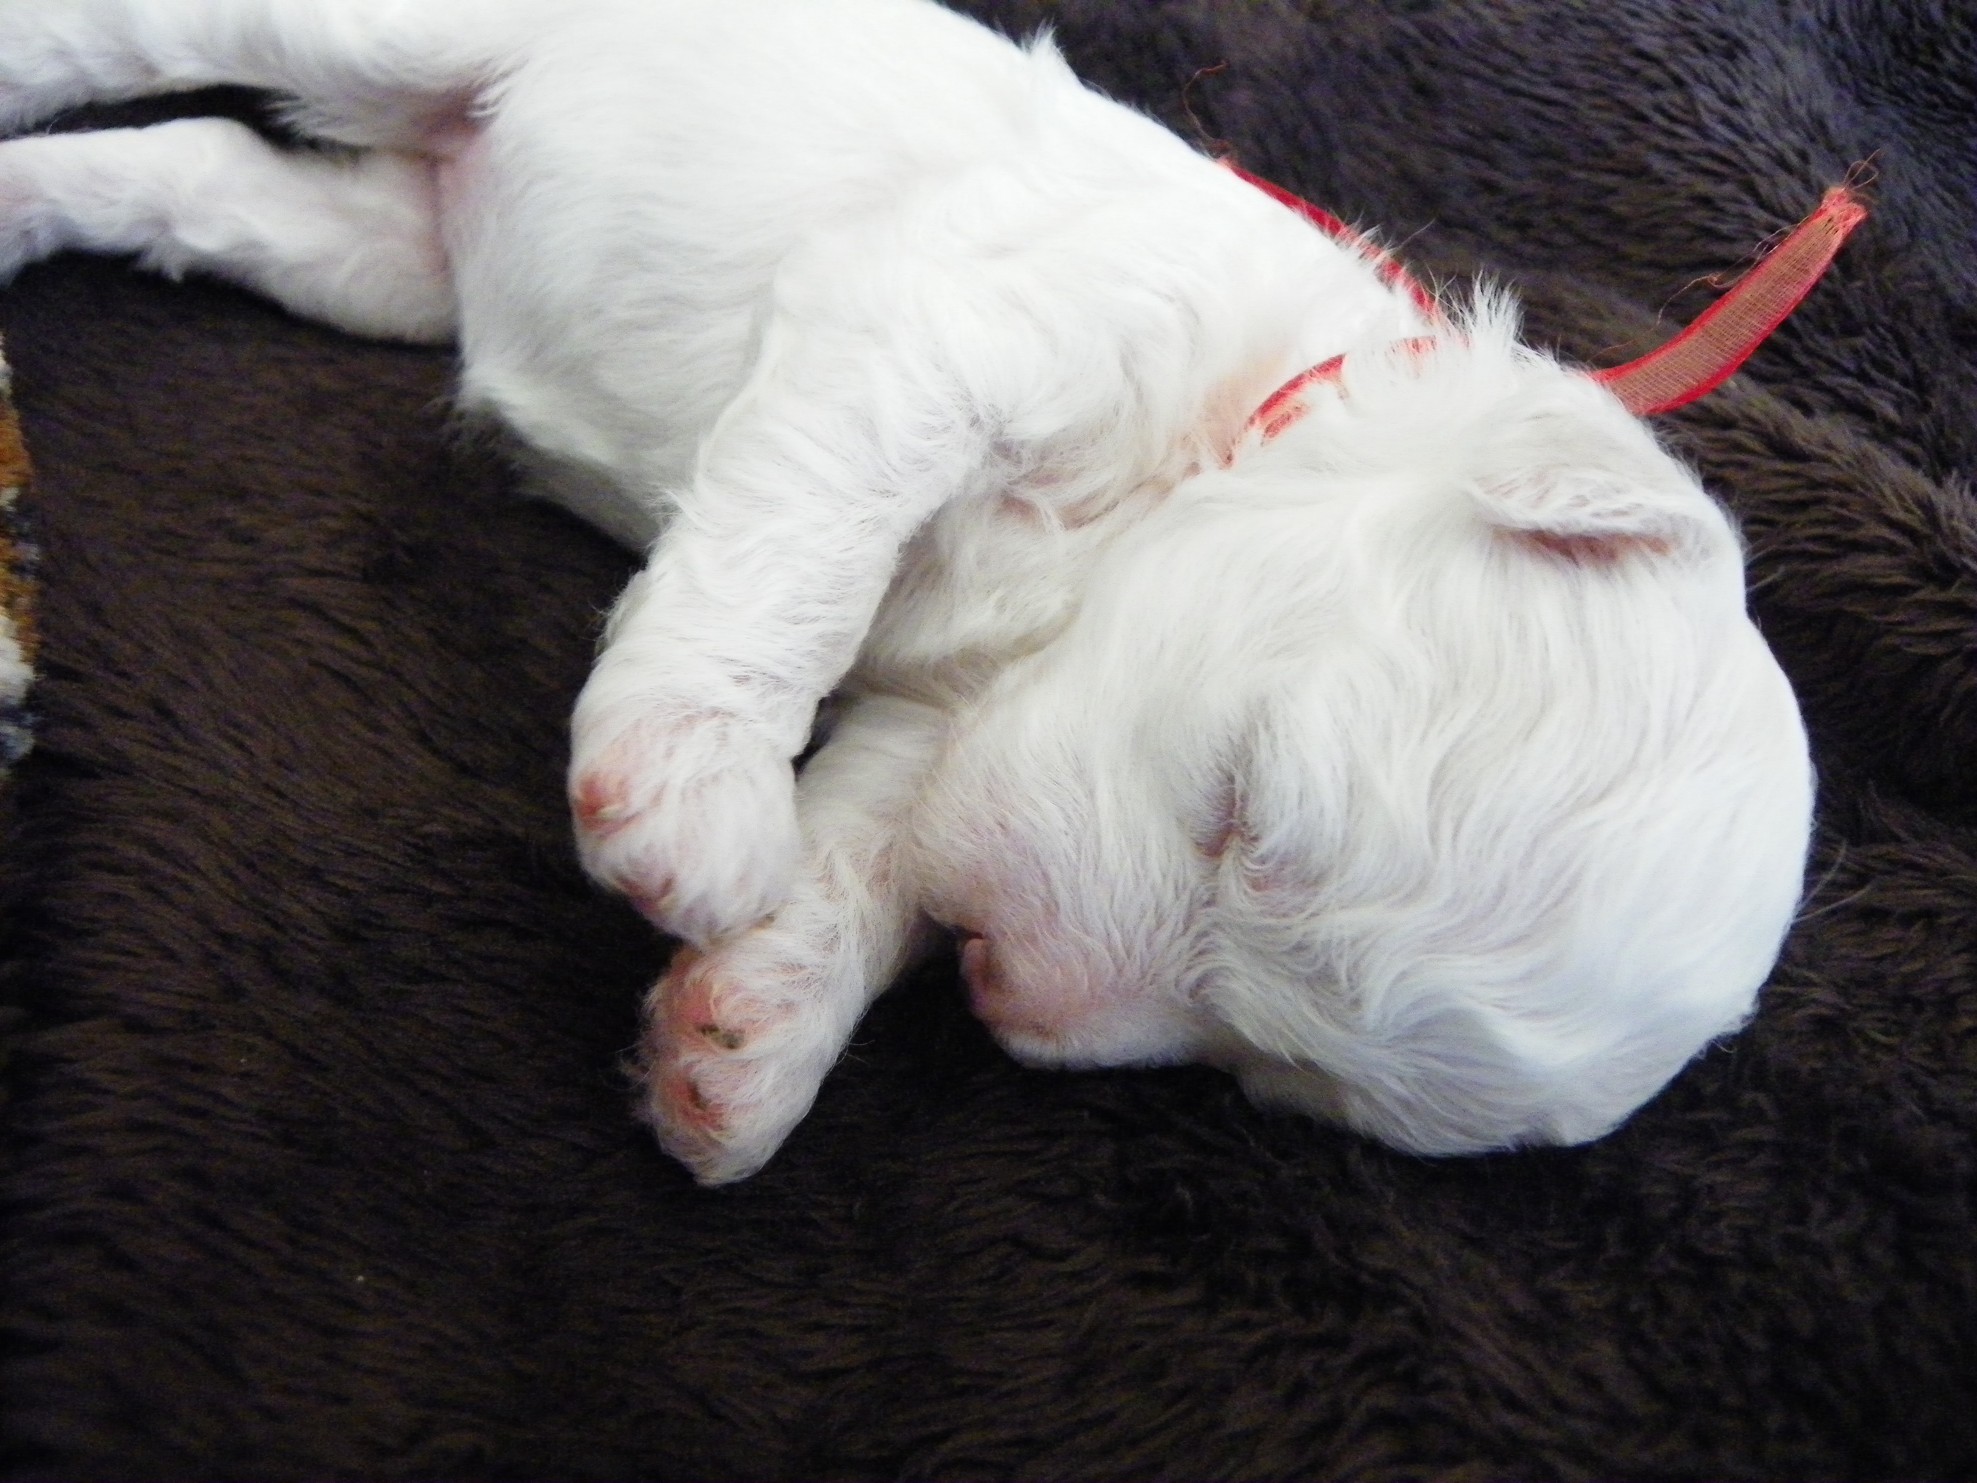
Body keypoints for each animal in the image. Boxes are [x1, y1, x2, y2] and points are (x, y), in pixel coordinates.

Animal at [0, 0, 1814, 1184]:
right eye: (1243, 811)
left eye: (1264, 1072)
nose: (1009, 988)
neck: (1244, 417)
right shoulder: (960, 325)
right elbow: (803, 551)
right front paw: (693, 793)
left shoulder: (948, 719)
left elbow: (869, 836)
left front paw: (745, 1034)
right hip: (396, 32)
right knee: (136, 40)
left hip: (385, 255)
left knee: (201, 171)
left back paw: (31, 210)